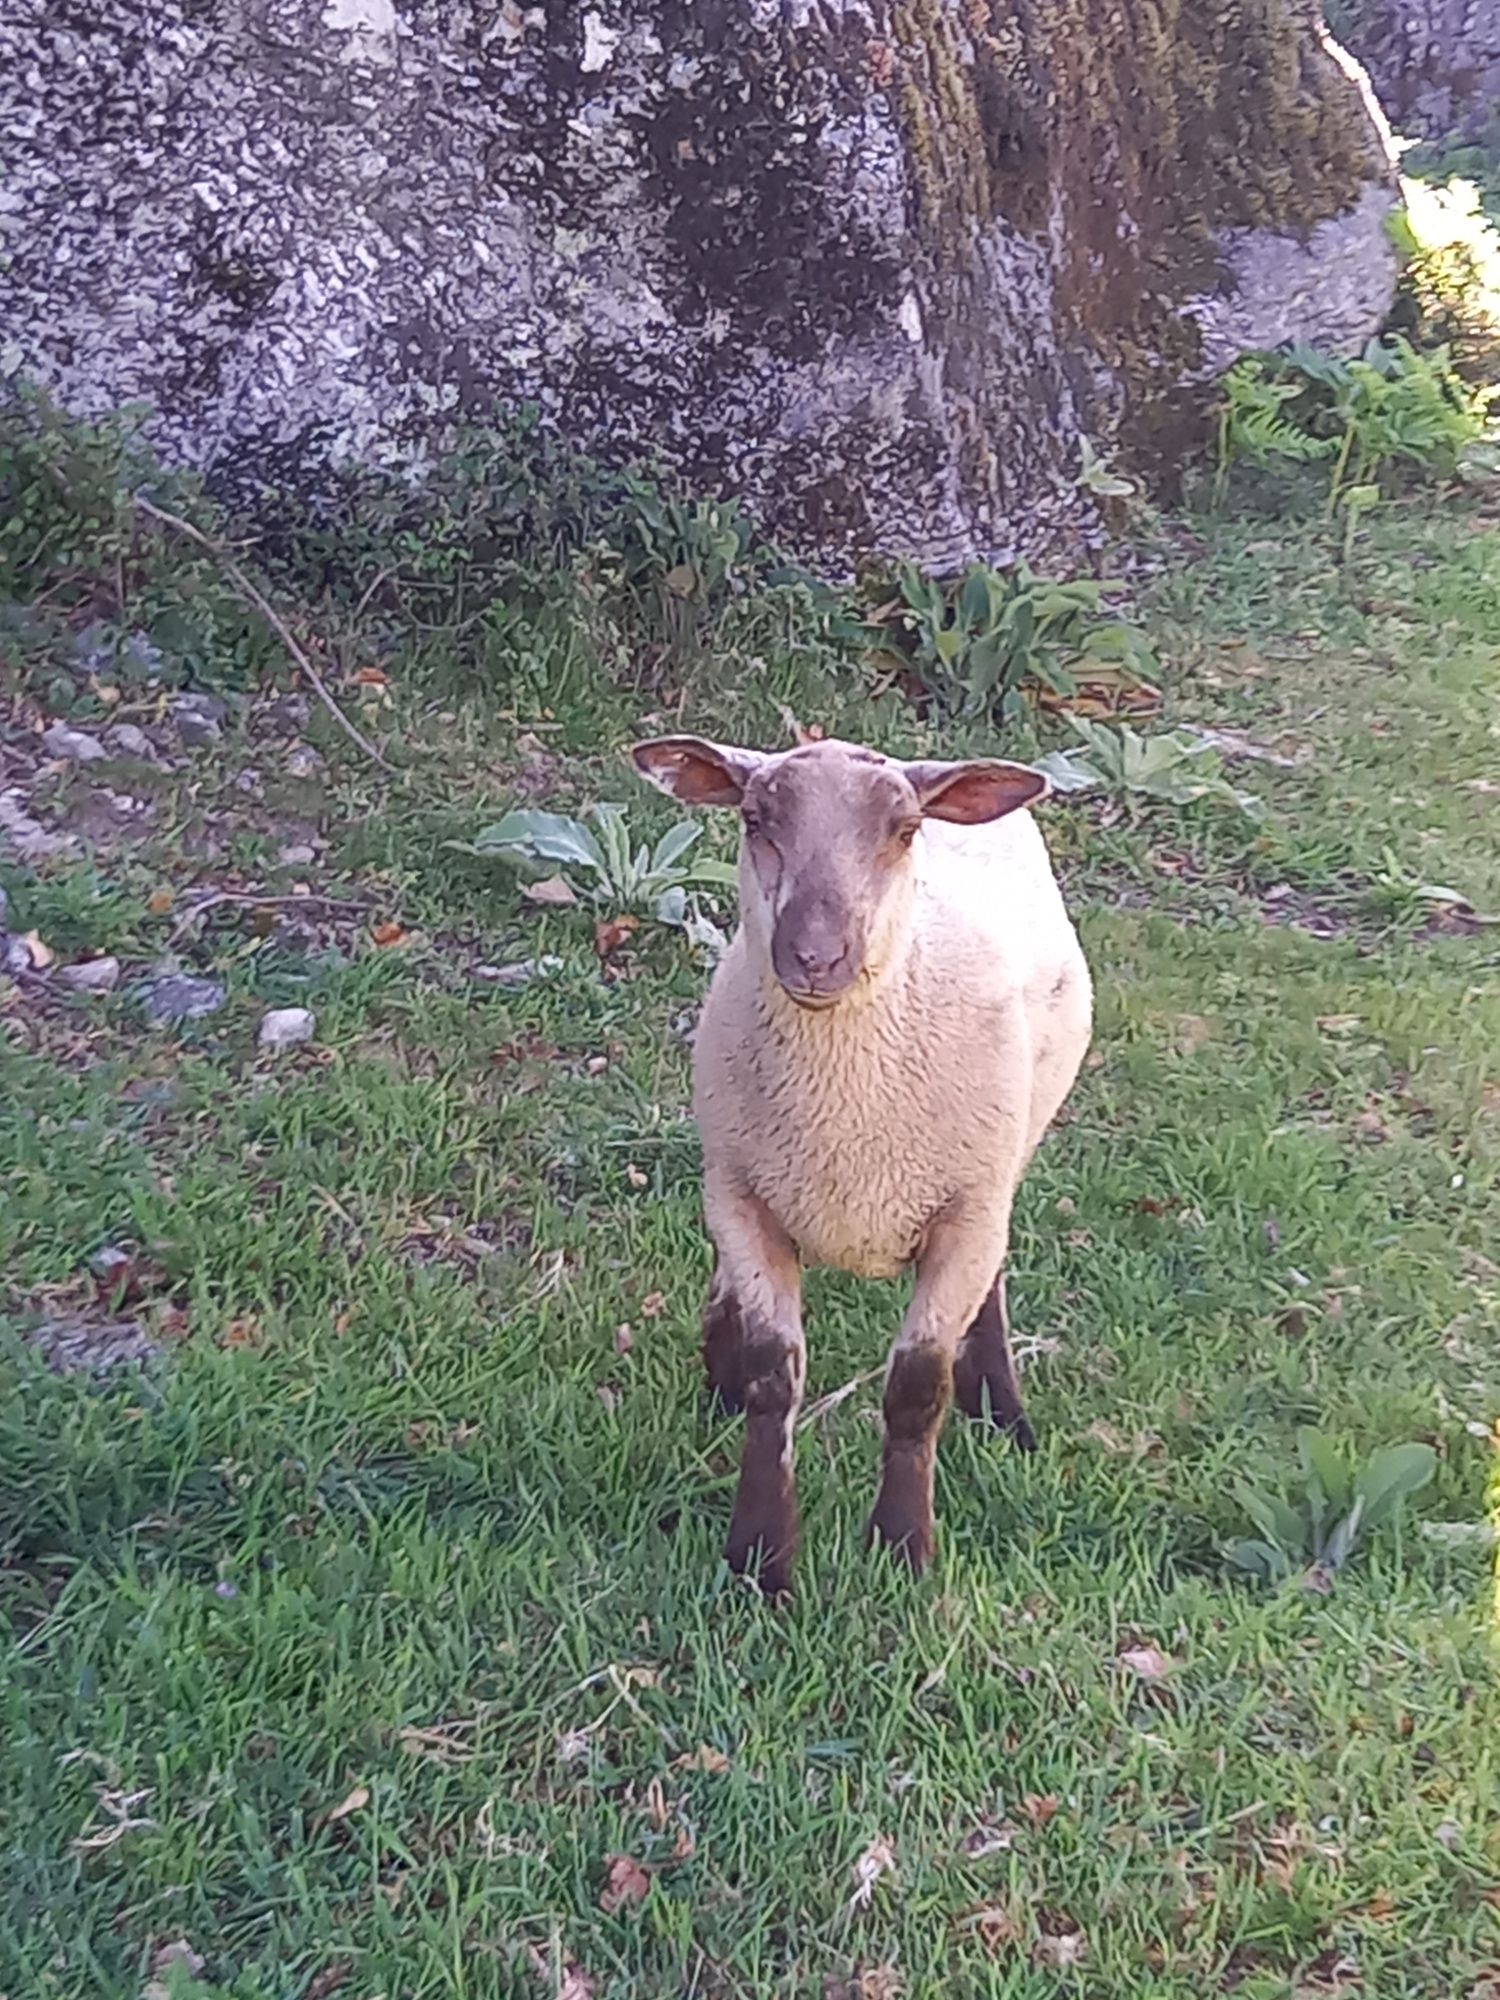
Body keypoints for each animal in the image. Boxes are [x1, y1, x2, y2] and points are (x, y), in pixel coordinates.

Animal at [632, 736, 1096, 1592]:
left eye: (903, 831)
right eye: (755, 820)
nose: (816, 957)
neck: (844, 1115)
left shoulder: (965, 1211)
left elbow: (916, 1388)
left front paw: (902, 1546)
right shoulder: (744, 1197)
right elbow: (773, 1377)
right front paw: (760, 1560)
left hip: (1006, 1158)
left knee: (996, 1271)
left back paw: (1003, 1409)